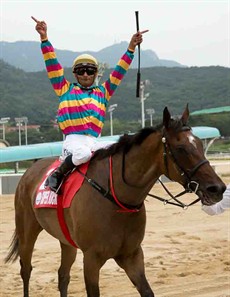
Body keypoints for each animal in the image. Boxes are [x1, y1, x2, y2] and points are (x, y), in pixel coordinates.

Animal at [4, 105, 225, 294]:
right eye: (181, 148)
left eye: (200, 144)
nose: (218, 188)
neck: (117, 196)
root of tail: (30, 170)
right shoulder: (92, 259)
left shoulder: (132, 255)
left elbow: (147, 290)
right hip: (27, 230)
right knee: (26, 270)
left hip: (66, 239)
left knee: (63, 275)